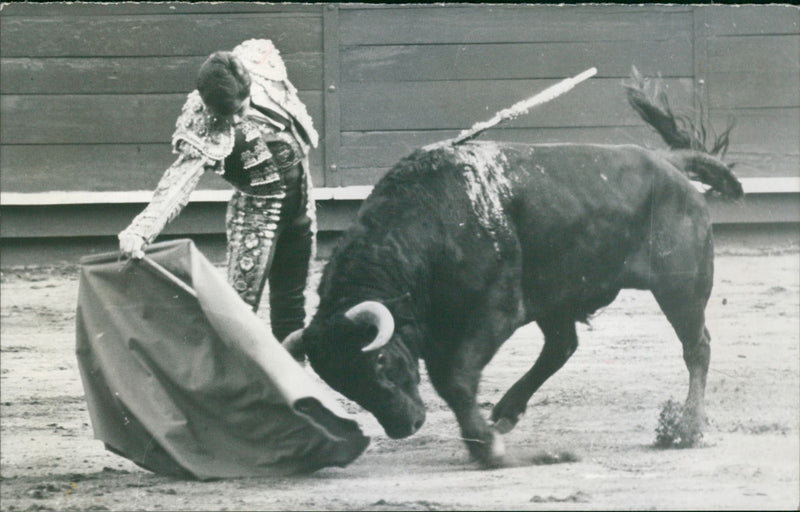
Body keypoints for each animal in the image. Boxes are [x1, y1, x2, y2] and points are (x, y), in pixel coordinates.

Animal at [284, 99, 740, 468]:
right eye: (339, 381)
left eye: (379, 361)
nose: (405, 426)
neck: (434, 222)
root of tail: (671, 164)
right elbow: (450, 381)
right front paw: (484, 438)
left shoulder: (496, 310)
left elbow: (456, 378)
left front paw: (487, 448)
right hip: (558, 295)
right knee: (562, 346)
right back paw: (506, 411)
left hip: (681, 288)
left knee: (697, 347)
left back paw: (688, 428)